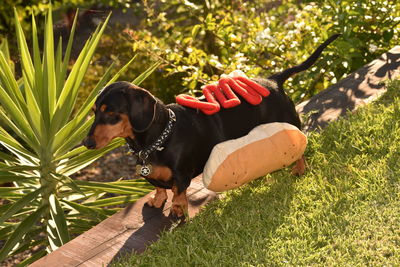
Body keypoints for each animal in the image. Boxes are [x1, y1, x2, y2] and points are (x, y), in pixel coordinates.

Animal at [83, 34, 340, 218]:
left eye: (111, 114)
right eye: (94, 112)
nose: (86, 143)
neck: (159, 139)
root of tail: (273, 80)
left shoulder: (181, 176)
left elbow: (178, 193)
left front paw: (177, 211)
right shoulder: (153, 176)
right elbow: (159, 189)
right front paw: (157, 201)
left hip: (289, 123)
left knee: (300, 147)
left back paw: (299, 168)